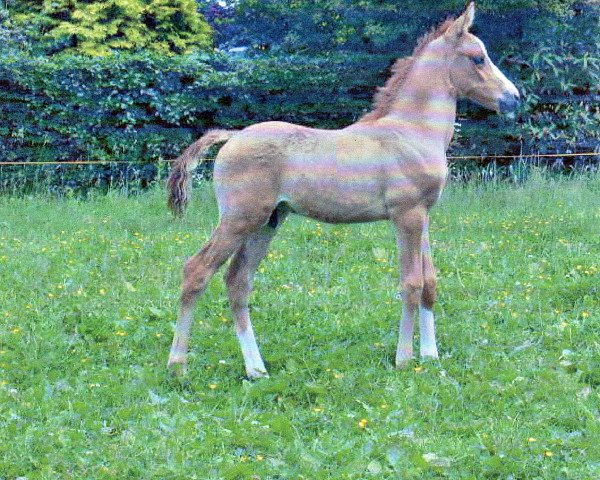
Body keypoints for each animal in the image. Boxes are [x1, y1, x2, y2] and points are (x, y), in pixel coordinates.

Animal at [166, 3, 516, 378]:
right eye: (477, 58)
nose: (514, 99)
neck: (411, 132)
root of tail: (232, 136)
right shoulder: (406, 216)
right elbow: (411, 283)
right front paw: (404, 358)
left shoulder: (423, 215)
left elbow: (430, 282)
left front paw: (430, 355)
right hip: (239, 219)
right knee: (196, 271)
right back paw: (178, 366)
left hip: (268, 222)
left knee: (237, 282)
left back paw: (256, 370)